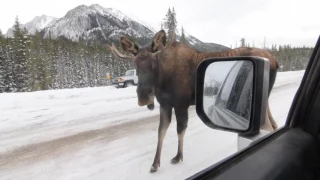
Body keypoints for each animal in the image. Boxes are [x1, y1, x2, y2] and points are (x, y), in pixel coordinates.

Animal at [107, 29, 278, 173]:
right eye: (135, 64)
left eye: (154, 62)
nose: (144, 97)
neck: (162, 80)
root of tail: (275, 61)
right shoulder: (165, 105)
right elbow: (161, 132)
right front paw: (155, 164)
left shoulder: (181, 104)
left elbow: (180, 130)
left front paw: (178, 157)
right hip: (263, 102)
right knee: (273, 124)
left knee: (267, 127)